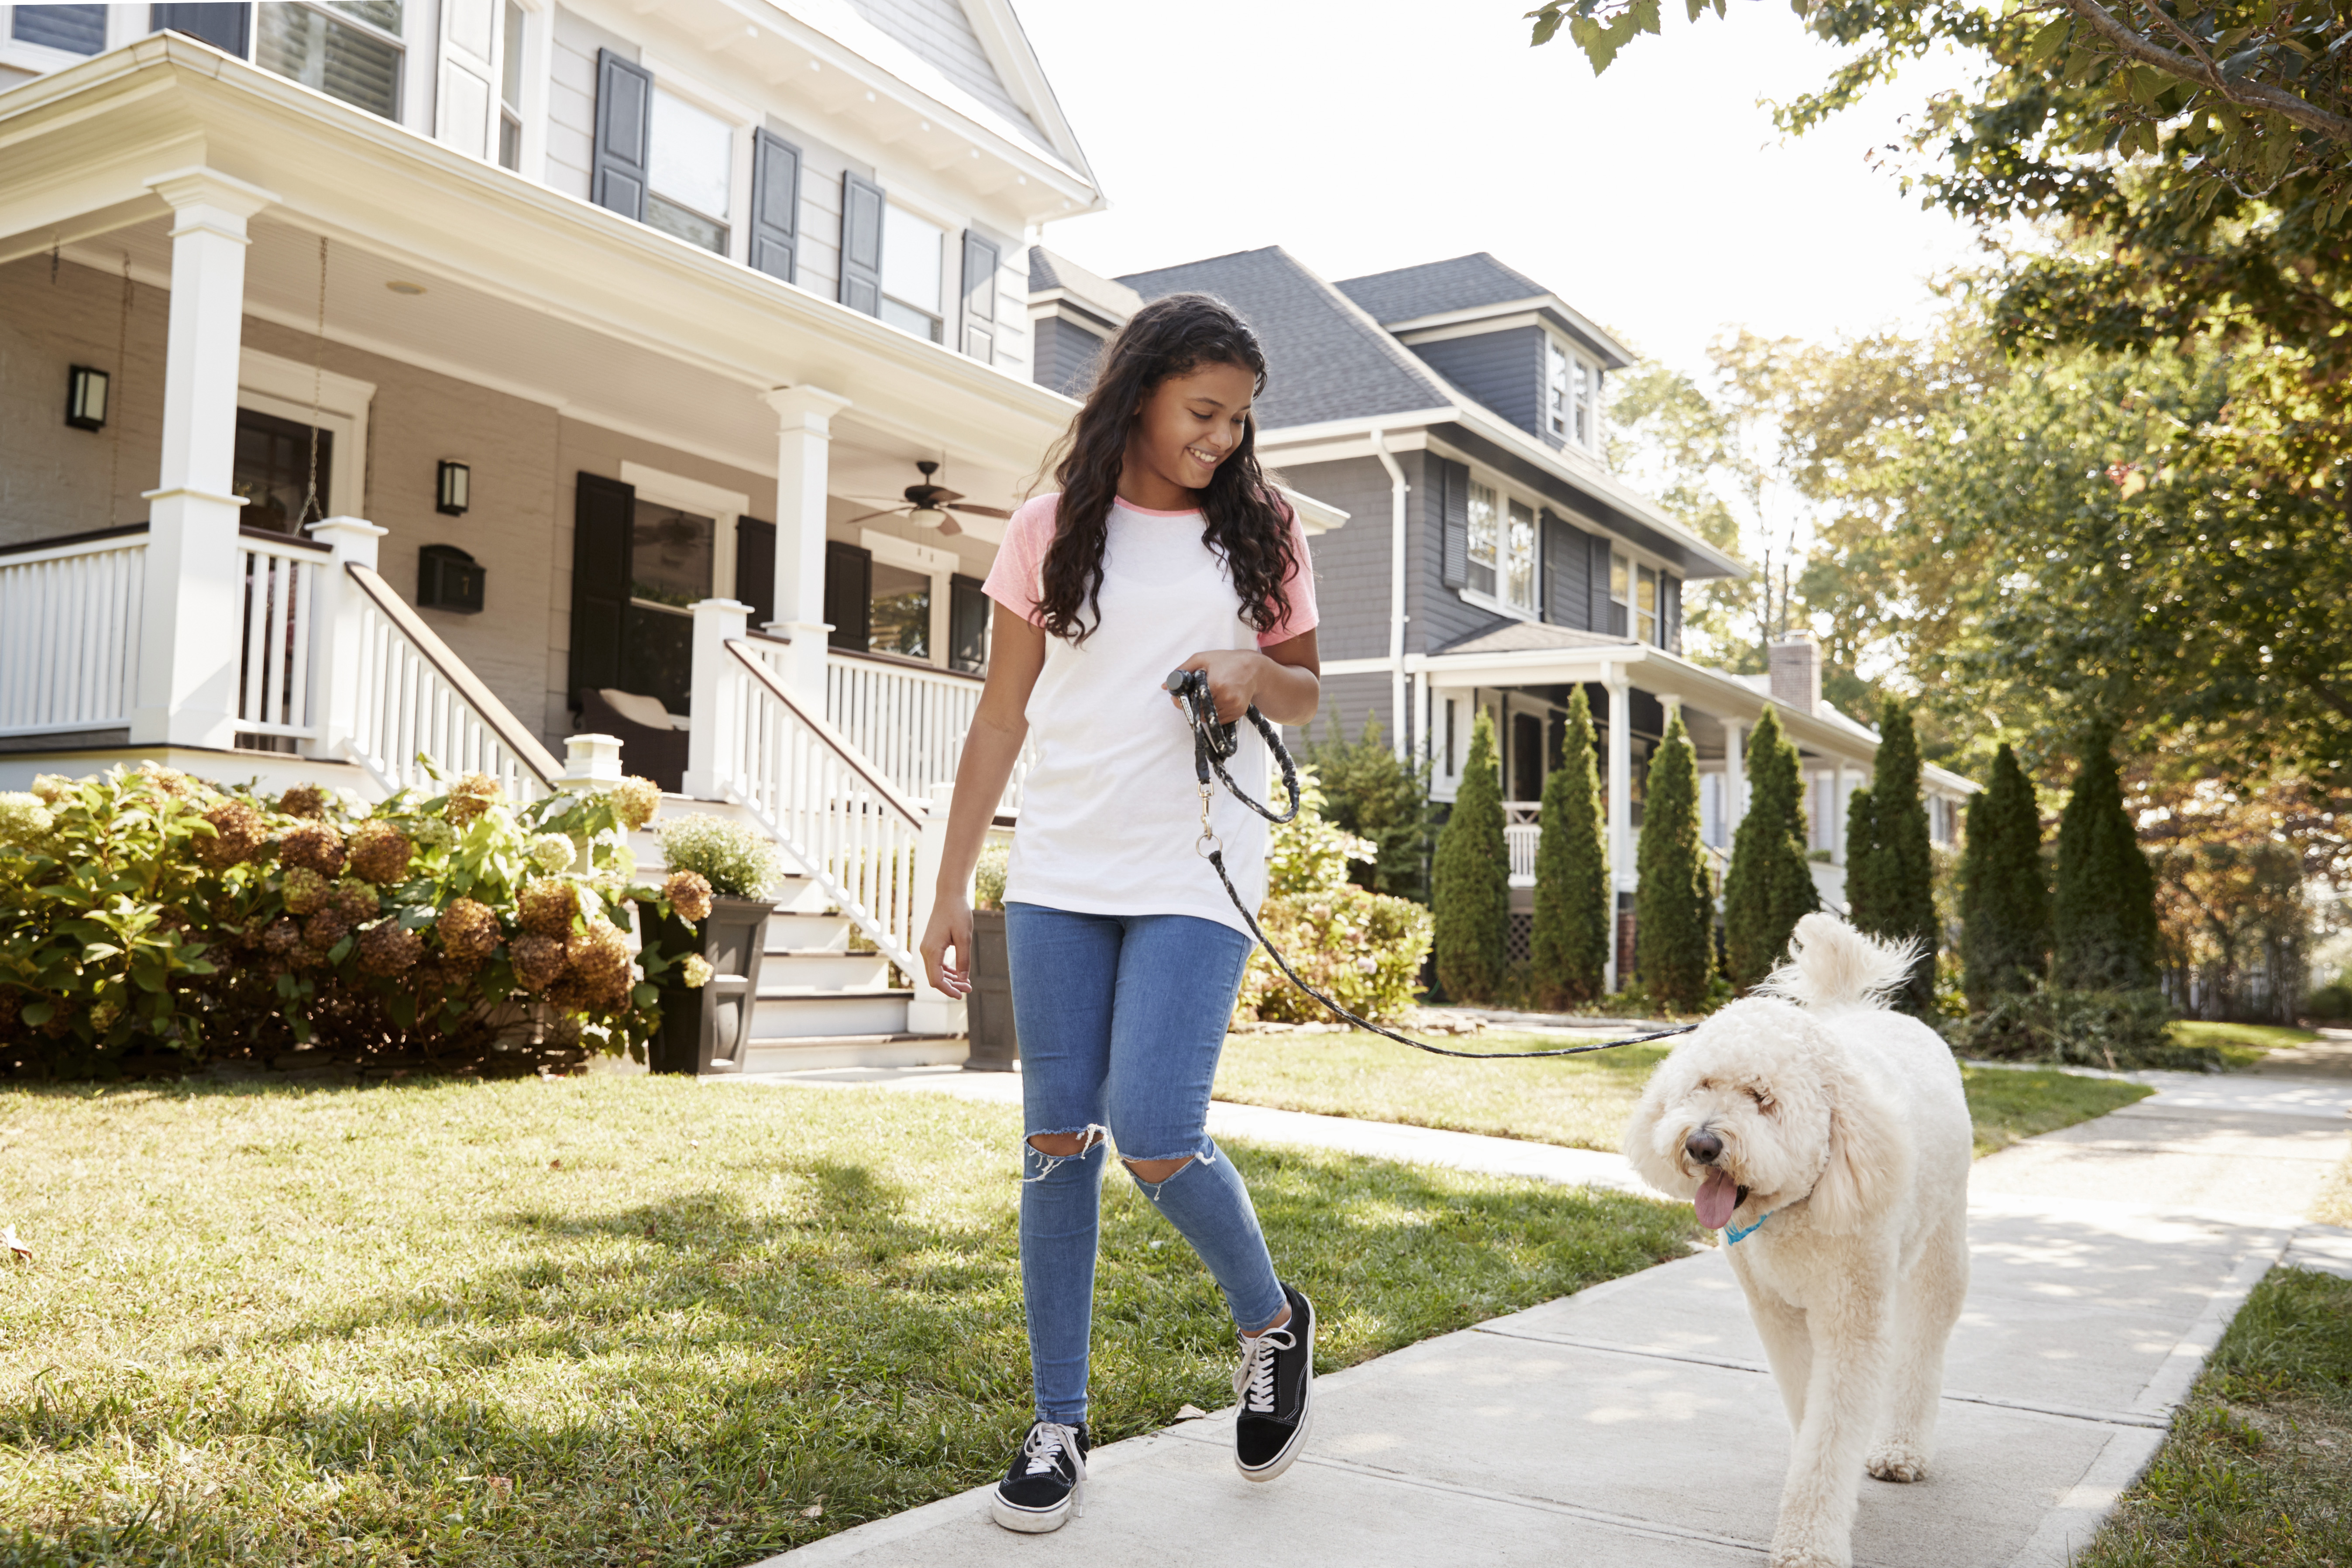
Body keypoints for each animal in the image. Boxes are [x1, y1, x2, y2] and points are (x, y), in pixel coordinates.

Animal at [1627, 912, 1975, 1561]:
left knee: (1924, 1339)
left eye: (1762, 1097)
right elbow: (1806, 1402)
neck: (1797, 1206)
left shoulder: (1852, 1320)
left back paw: (1902, 1448)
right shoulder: (1777, 1312)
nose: (1702, 1144)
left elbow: (1832, 1429)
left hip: (1941, 1244)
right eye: (1701, 1085)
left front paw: (1810, 1544)